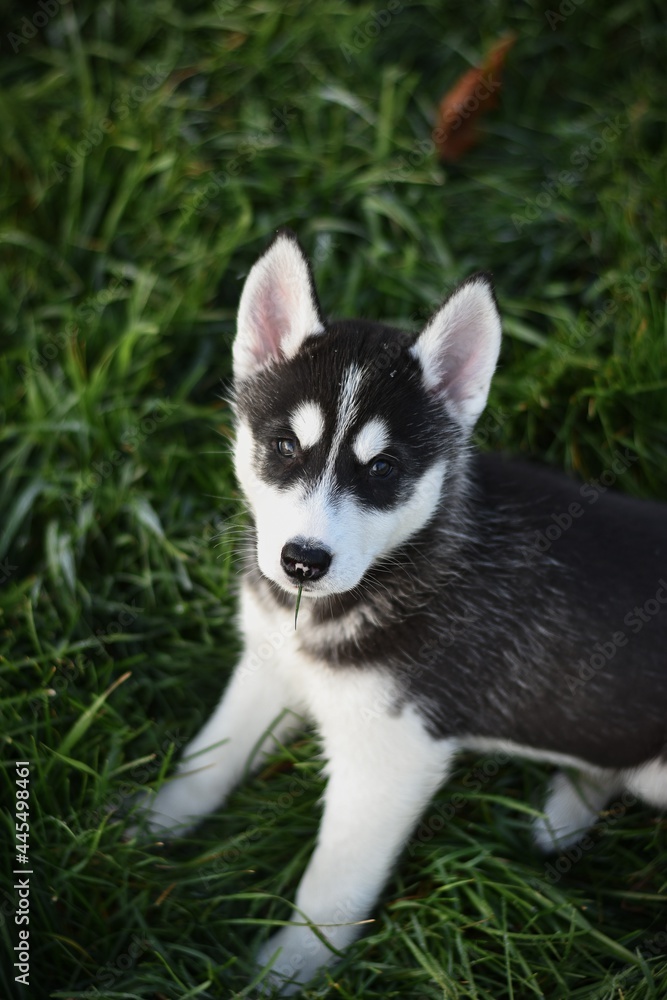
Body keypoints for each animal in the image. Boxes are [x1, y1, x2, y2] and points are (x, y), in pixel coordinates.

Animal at [137, 232, 667, 992]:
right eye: (285, 447)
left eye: (382, 470)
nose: (302, 562)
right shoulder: (271, 669)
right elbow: (208, 759)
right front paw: (142, 829)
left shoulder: (390, 759)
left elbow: (331, 890)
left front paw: (281, 976)